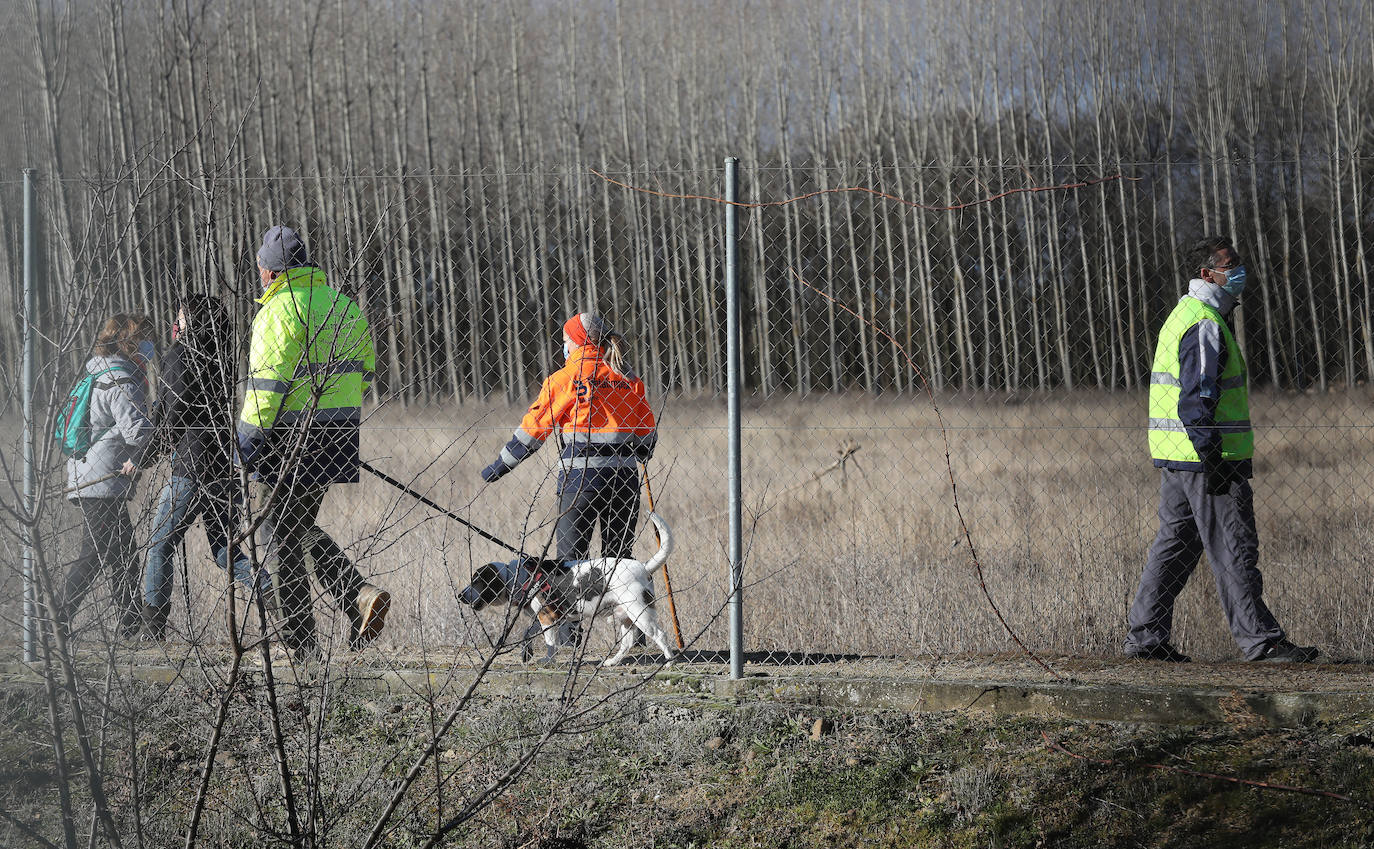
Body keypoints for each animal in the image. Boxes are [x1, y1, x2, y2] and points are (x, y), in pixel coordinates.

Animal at [461, 505, 676, 664]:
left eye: (476, 582)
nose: (460, 595)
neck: (520, 576)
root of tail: (645, 567)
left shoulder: (548, 618)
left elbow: (550, 643)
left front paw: (548, 661)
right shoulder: (543, 617)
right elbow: (528, 632)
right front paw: (527, 653)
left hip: (640, 612)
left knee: (660, 635)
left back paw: (669, 661)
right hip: (625, 616)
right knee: (627, 643)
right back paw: (612, 662)